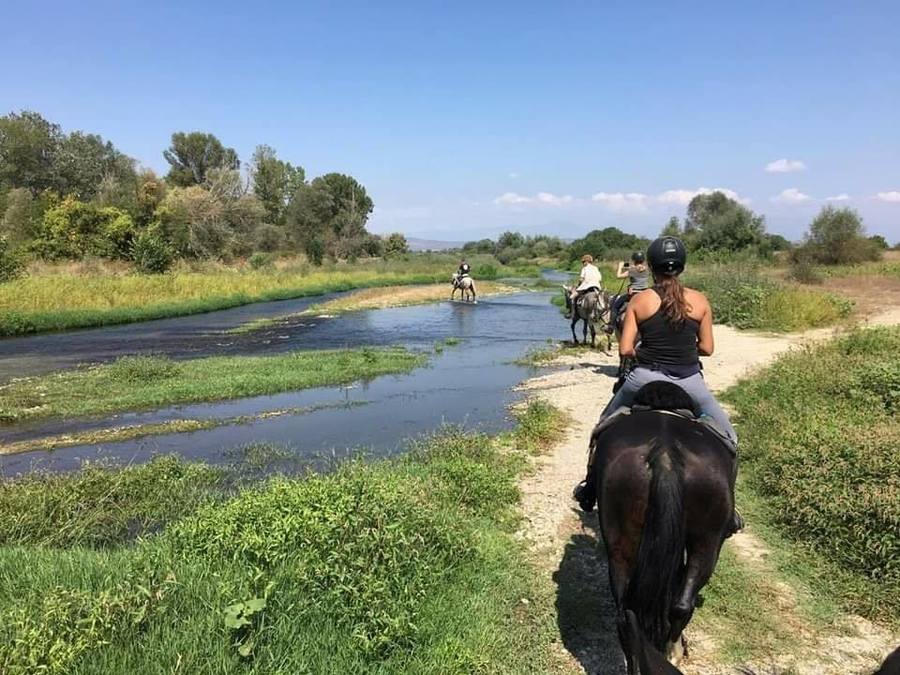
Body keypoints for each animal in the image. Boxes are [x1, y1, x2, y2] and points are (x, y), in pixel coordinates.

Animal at [592, 382, 740, 672]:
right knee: (677, 604)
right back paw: (674, 650)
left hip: (623, 541)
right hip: (709, 540)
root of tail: (664, 455)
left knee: (629, 613)